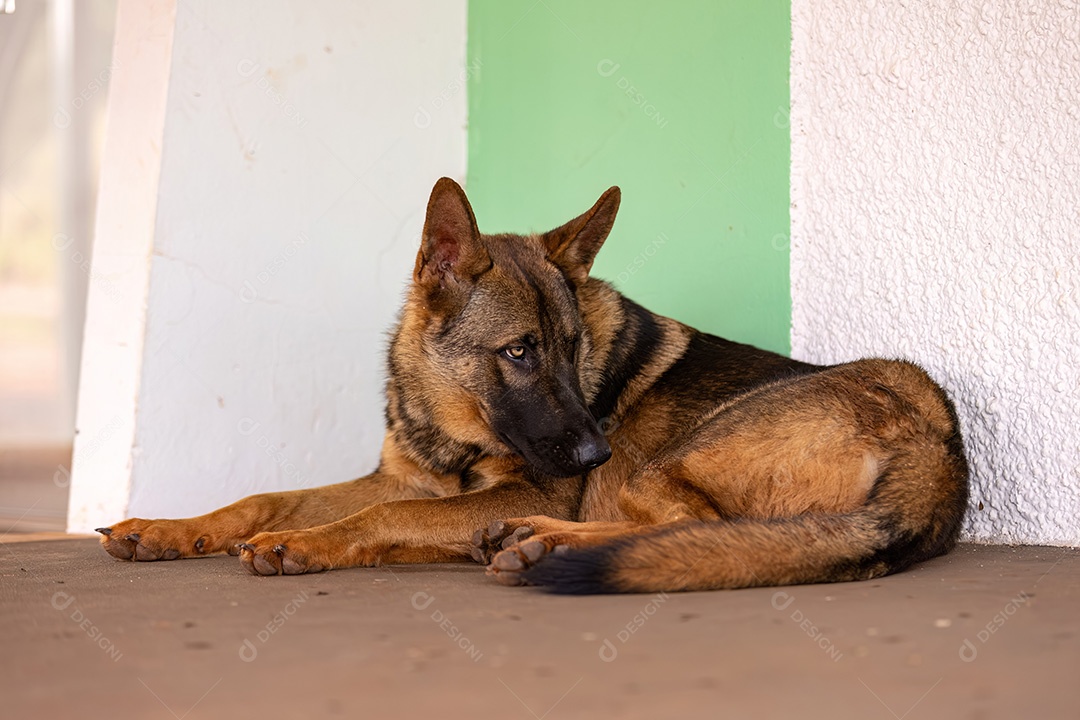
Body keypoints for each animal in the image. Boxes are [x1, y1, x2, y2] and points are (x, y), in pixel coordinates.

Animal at [95, 177, 972, 595]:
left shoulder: (501, 489)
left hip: (661, 466)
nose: (594, 453)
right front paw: (171, 528)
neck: (450, 420)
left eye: (573, 350)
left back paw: (540, 541)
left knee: (681, 529)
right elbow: (265, 497)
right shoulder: (402, 478)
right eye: (519, 351)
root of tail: (940, 447)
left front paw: (306, 544)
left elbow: (380, 516)